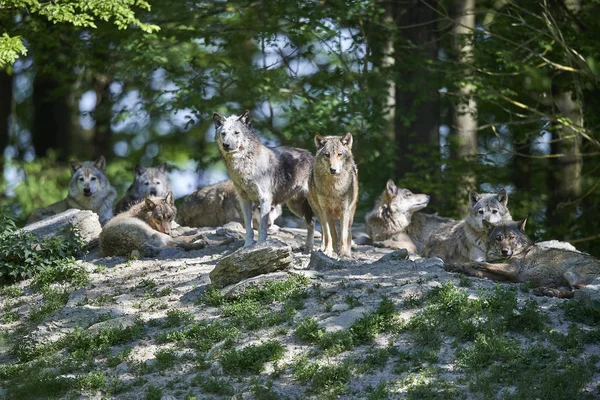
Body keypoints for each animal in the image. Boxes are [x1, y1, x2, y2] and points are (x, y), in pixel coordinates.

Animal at [212, 109, 314, 247]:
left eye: (236, 133)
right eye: (223, 133)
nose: (226, 145)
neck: (245, 167)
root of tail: (312, 155)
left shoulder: (264, 198)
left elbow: (262, 227)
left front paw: (260, 245)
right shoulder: (243, 200)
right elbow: (249, 228)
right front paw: (247, 245)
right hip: (296, 207)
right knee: (312, 224)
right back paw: (309, 247)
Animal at [446, 219, 600, 296]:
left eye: (512, 238)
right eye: (499, 238)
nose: (505, 251)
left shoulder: (511, 269)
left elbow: (482, 264)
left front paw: (470, 264)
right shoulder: (501, 275)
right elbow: (478, 269)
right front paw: (457, 266)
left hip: (570, 274)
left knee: (577, 293)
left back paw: (549, 290)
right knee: (572, 293)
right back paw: (548, 291)